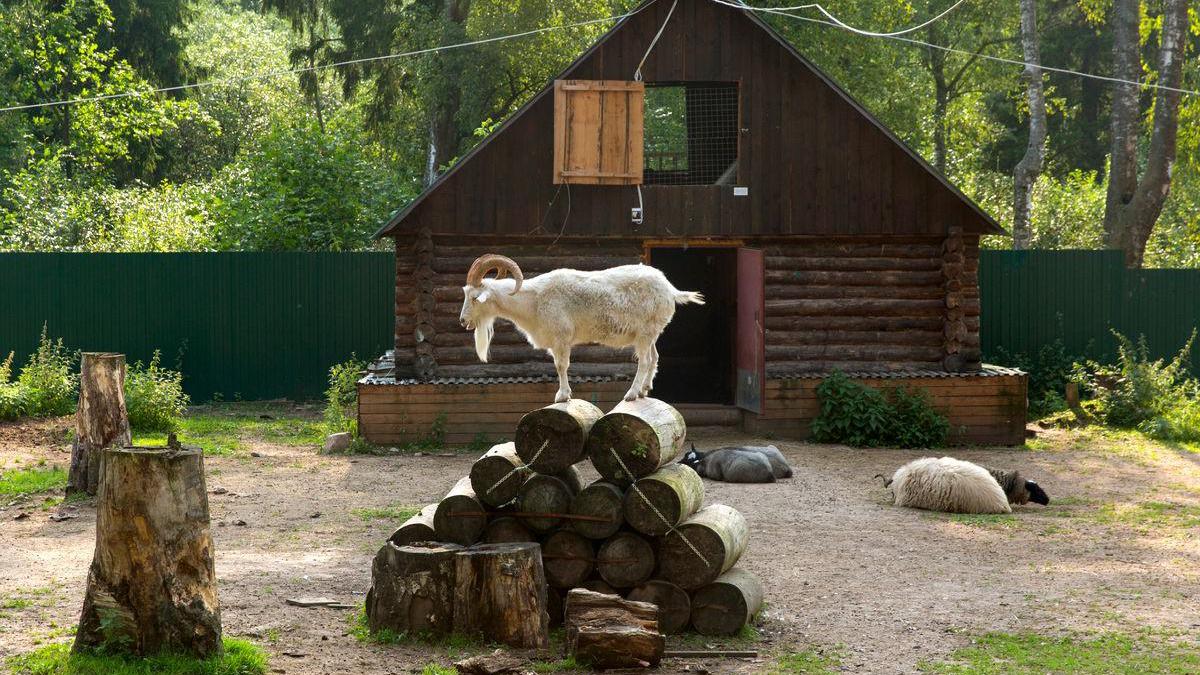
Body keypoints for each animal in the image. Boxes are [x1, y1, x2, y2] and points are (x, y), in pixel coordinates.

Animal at [456, 252, 700, 398]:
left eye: (475, 297)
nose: (463, 321)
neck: (534, 300)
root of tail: (670, 290)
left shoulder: (561, 338)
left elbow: (561, 366)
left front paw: (562, 395)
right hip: (650, 333)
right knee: (654, 357)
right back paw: (644, 390)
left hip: (645, 333)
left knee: (645, 360)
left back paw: (631, 394)